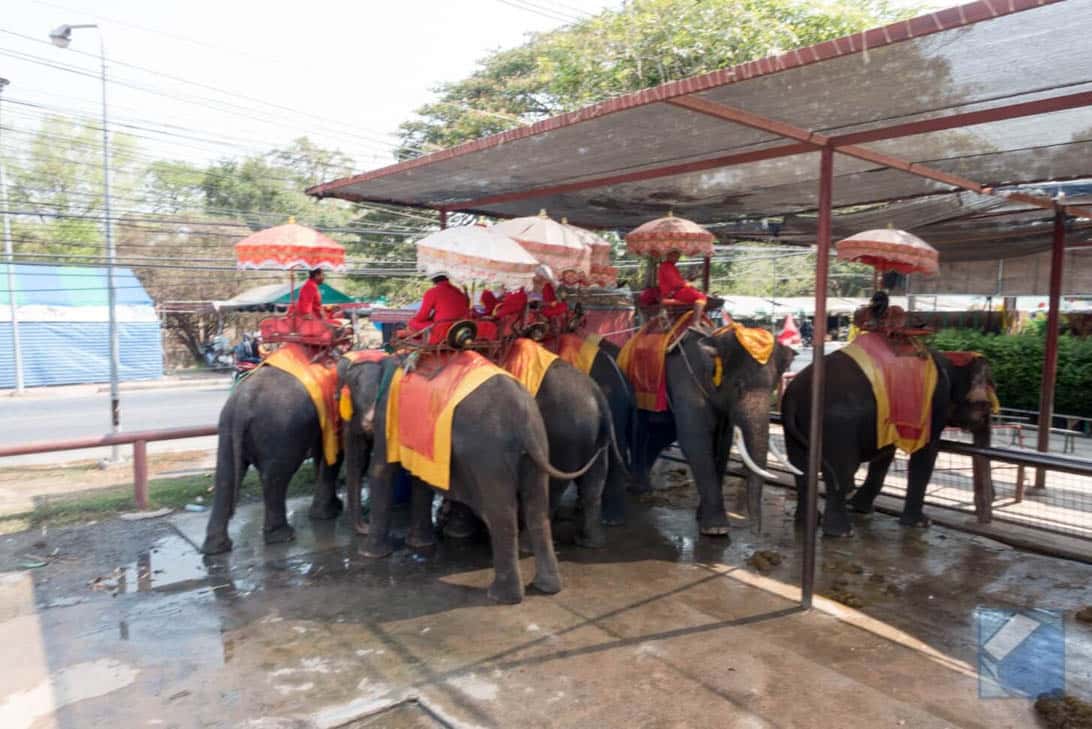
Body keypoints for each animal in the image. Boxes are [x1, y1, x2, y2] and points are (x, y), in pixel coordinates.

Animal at [202, 364, 340, 552]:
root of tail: (244, 402)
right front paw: (329, 513)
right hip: (282, 429)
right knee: (276, 475)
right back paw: (283, 536)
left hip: (227, 426)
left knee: (225, 475)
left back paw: (216, 548)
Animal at [338, 353, 602, 602]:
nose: (362, 527)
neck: (382, 360)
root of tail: (523, 421)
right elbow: (420, 478)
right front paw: (420, 544)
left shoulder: (387, 416)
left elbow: (381, 471)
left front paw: (370, 554)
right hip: (538, 446)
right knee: (540, 508)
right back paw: (548, 586)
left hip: (493, 455)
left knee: (502, 514)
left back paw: (501, 596)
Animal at [607, 329, 794, 534]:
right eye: (738, 385)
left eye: (773, 387)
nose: (756, 531)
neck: (715, 338)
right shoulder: (687, 386)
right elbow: (694, 440)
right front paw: (716, 529)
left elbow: (723, 444)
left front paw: (702, 517)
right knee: (640, 431)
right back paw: (639, 489)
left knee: (659, 435)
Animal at [777, 347, 1000, 534]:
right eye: (984, 405)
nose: (994, 496)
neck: (952, 360)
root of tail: (793, 396)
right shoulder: (933, 407)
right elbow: (925, 455)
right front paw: (922, 523)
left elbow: (885, 455)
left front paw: (862, 509)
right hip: (838, 425)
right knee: (843, 469)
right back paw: (842, 533)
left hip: (796, 428)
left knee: (801, 468)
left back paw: (808, 521)